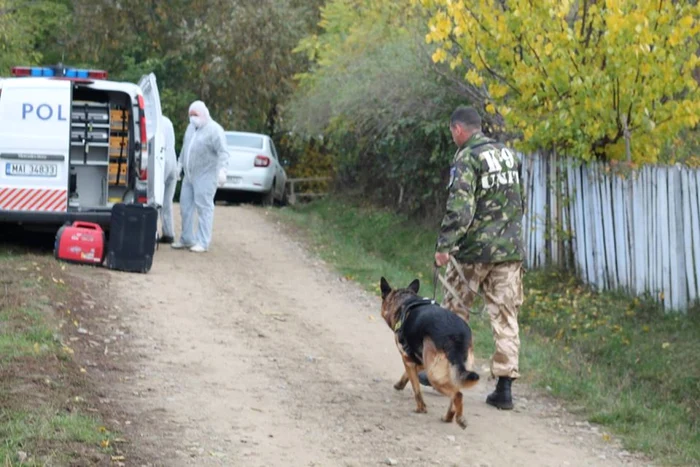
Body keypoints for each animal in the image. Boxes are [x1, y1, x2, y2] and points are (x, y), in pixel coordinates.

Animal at [380, 278, 478, 428]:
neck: (404, 301)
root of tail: (457, 335)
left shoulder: (407, 358)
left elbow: (416, 388)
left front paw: (421, 408)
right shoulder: (420, 360)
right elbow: (409, 376)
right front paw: (400, 384)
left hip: (435, 376)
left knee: (457, 394)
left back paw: (459, 418)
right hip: (453, 372)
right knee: (455, 395)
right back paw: (448, 417)